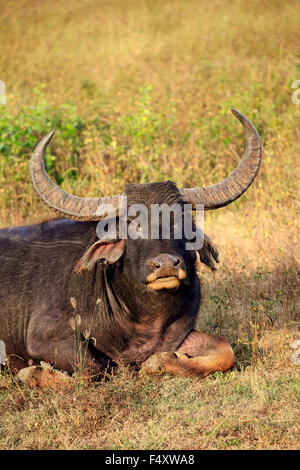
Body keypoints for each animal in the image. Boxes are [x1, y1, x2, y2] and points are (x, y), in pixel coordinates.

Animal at [0, 109, 262, 382]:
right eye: (131, 223)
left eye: (181, 219)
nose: (166, 265)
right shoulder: (43, 339)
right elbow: (93, 367)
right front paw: (33, 373)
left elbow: (224, 350)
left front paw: (158, 362)